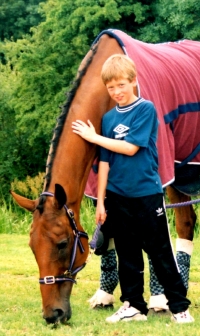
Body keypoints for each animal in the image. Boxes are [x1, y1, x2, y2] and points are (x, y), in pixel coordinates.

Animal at [10, 28, 200, 322]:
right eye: (32, 246)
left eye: (62, 243)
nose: (53, 314)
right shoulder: (101, 176)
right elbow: (107, 228)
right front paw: (105, 296)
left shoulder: (158, 170)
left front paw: (158, 300)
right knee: (187, 223)